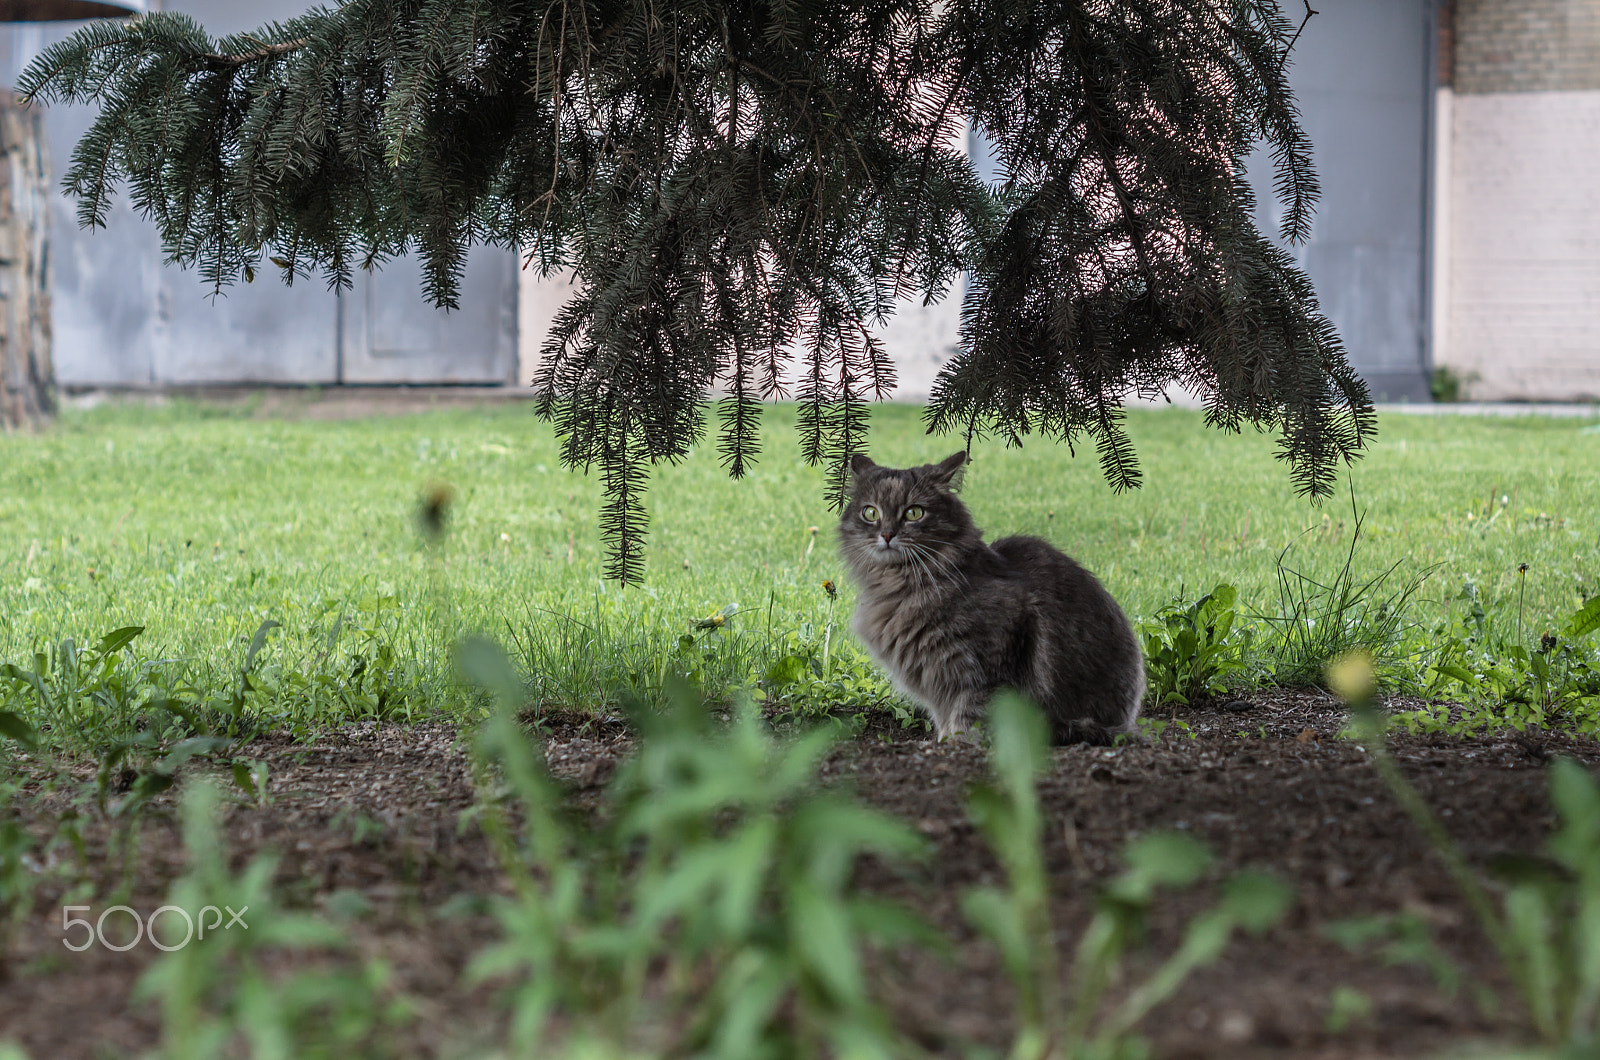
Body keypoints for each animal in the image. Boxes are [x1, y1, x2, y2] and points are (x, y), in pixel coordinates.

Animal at [844, 451, 1145, 742]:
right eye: (870, 513)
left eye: (914, 512)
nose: (887, 534)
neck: (899, 586)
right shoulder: (938, 687)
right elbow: (945, 720)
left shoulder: (985, 668)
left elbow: (967, 719)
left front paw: (957, 744)